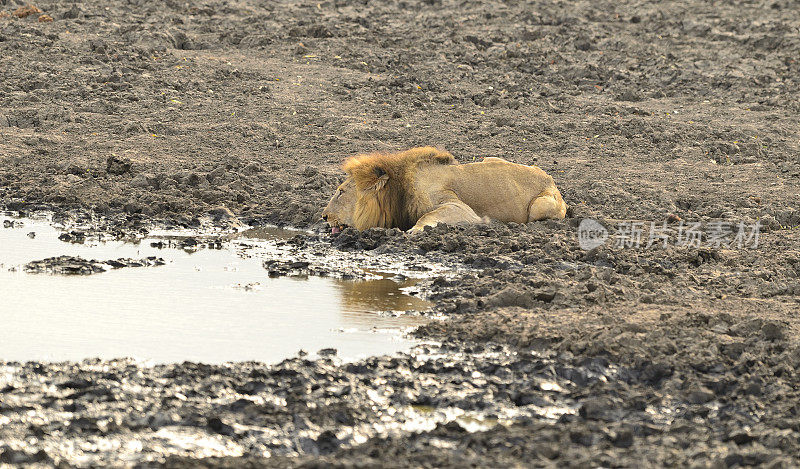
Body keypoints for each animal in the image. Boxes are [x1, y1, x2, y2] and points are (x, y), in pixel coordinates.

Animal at [322, 147, 564, 233]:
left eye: (341, 192)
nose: (324, 216)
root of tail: (550, 178)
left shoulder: (460, 208)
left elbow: (429, 216)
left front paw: (415, 230)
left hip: (540, 205)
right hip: (490, 156)